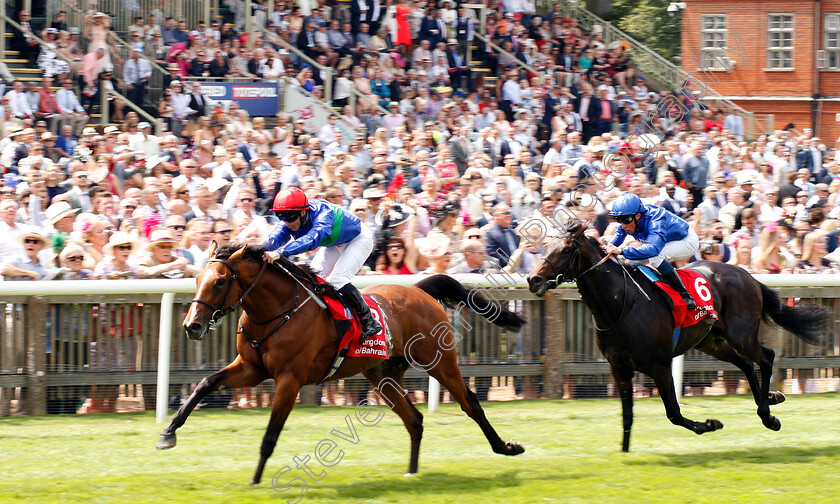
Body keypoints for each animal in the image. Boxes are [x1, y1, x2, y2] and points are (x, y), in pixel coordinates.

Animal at [158, 244, 524, 484]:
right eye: (196, 280)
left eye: (220, 281)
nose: (191, 326)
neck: (278, 310)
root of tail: (419, 291)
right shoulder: (251, 369)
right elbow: (205, 384)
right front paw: (167, 433)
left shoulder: (290, 378)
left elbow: (271, 432)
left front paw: (256, 480)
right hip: (382, 375)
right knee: (415, 419)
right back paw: (411, 472)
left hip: (440, 363)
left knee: (470, 403)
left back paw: (506, 447)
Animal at [528, 222, 832, 450]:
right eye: (547, 245)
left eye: (567, 248)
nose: (533, 279)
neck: (621, 304)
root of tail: (747, 275)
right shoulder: (619, 369)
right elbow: (627, 416)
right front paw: (623, 453)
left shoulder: (658, 365)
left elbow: (673, 413)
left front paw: (710, 424)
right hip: (711, 341)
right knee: (746, 363)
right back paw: (768, 398)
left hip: (741, 335)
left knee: (766, 358)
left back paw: (768, 415)